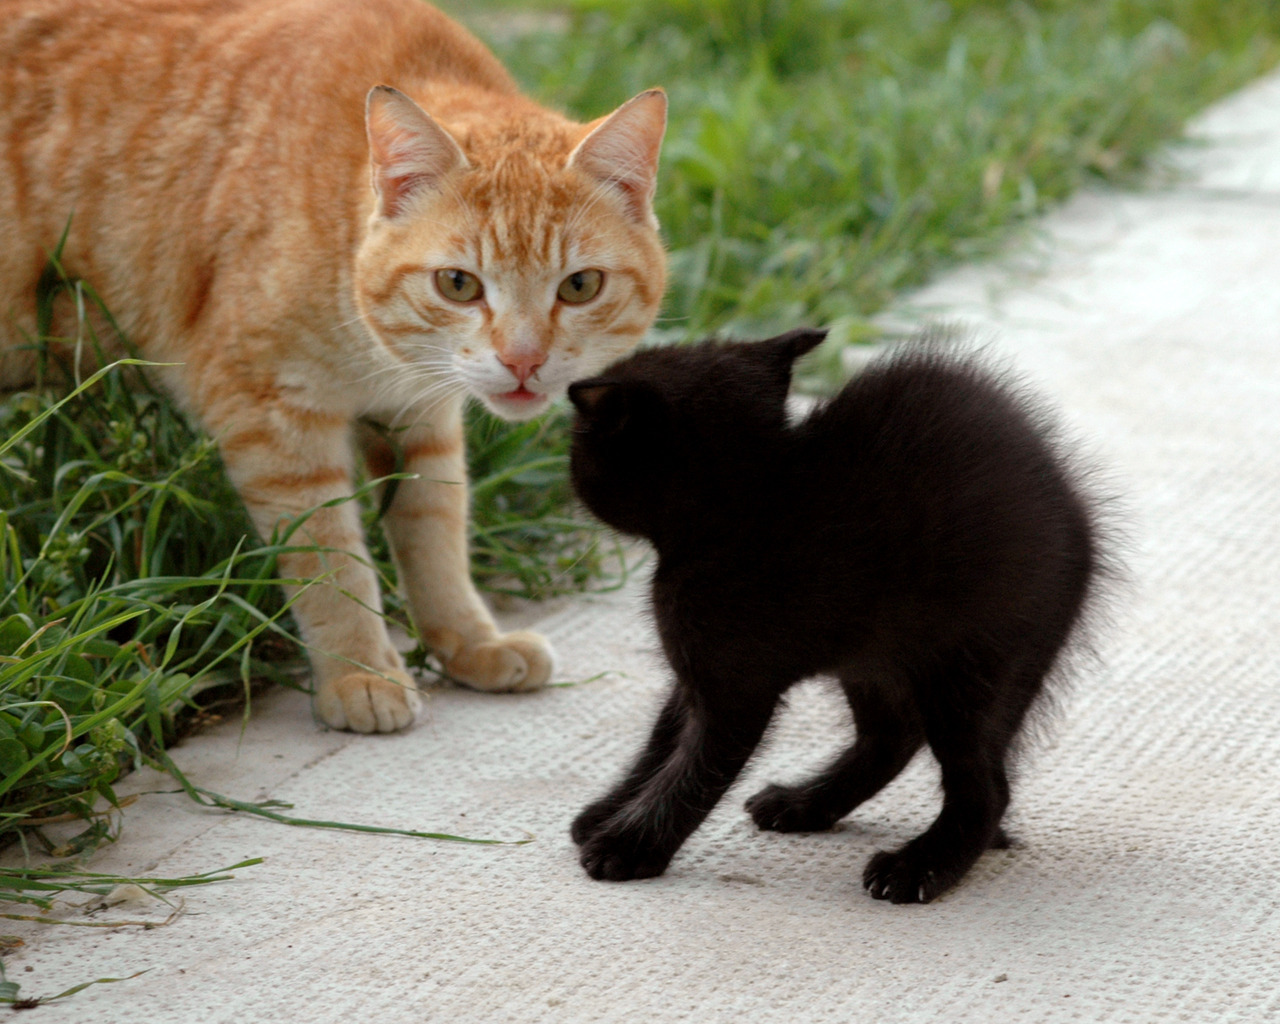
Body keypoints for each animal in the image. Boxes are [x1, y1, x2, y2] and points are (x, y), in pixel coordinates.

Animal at [2, 2, 670, 737]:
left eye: (579, 286)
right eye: (459, 285)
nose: (523, 360)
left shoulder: (423, 419)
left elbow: (436, 531)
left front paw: (470, 642)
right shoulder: (275, 423)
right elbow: (331, 565)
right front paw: (361, 673)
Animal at [565, 330, 1105, 906]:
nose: (566, 462)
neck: (740, 507)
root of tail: (1079, 522)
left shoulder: (735, 687)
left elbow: (693, 770)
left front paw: (629, 846)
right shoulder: (696, 674)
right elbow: (661, 743)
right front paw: (607, 812)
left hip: (976, 663)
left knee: (984, 786)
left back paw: (918, 867)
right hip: (874, 659)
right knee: (891, 738)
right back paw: (805, 804)